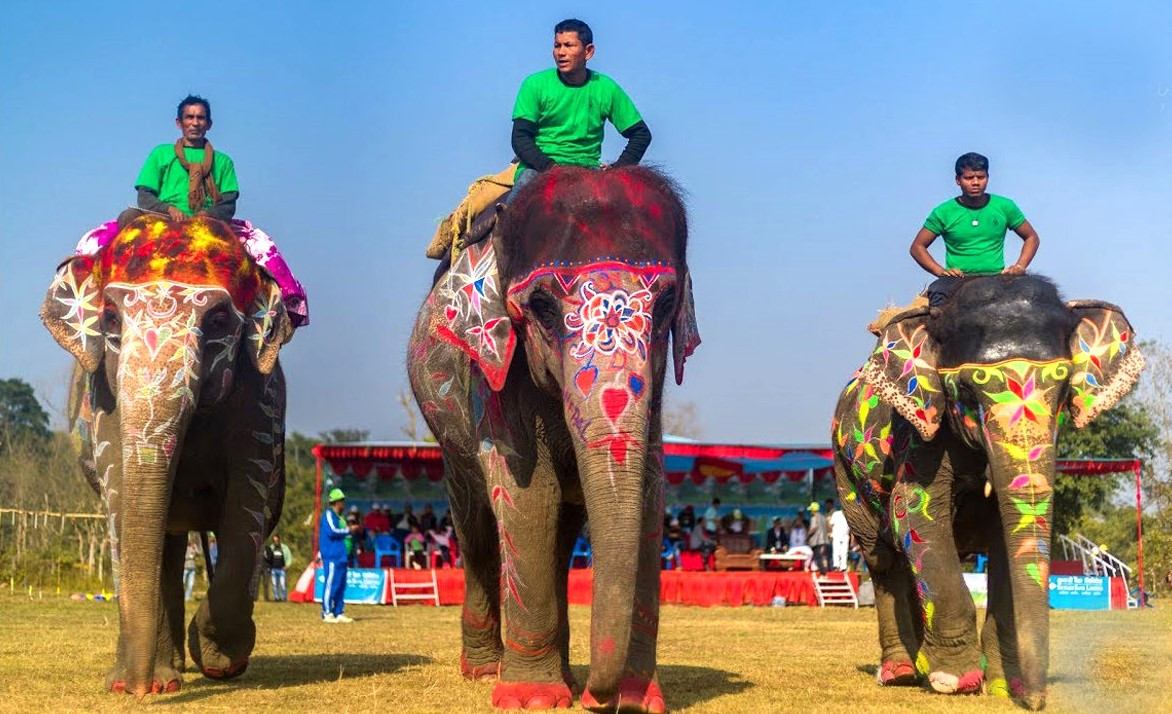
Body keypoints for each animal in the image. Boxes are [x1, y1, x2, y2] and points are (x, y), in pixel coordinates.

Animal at [41, 213, 297, 694]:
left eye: (218, 319)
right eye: (110, 318)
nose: (136, 688)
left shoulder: (260, 398)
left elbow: (245, 513)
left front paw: (218, 660)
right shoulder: (102, 398)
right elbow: (123, 505)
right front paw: (141, 683)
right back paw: (164, 673)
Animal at [405, 165, 693, 708]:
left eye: (666, 302)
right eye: (540, 305)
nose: (599, 700)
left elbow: (649, 493)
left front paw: (639, 700)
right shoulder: (494, 374)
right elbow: (528, 495)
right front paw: (531, 700)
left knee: (560, 535)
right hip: (447, 428)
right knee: (475, 526)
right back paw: (485, 672)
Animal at [834, 274, 1143, 708]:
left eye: (1065, 387)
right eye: (966, 390)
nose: (1036, 702)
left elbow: (1007, 540)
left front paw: (1003, 685)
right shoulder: (918, 433)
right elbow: (913, 514)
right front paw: (954, 680)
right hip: (845, 472)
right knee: (882, 559)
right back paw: (902, 673)